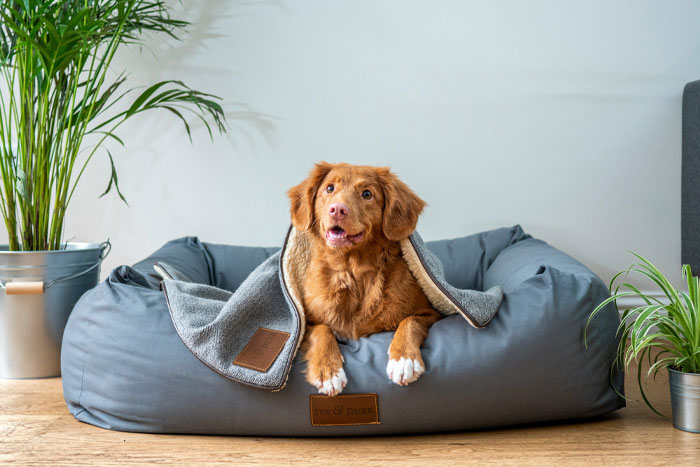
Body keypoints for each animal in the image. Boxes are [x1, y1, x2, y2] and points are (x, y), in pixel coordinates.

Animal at [288, 163, 440, 396]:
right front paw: (328, 370)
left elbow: (410, 321)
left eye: (367, 194)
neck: (352, 271)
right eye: (330, 188)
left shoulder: (431, 313)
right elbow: (322, 330)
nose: (337, 209)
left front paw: (404, 359)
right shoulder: (305, 323)